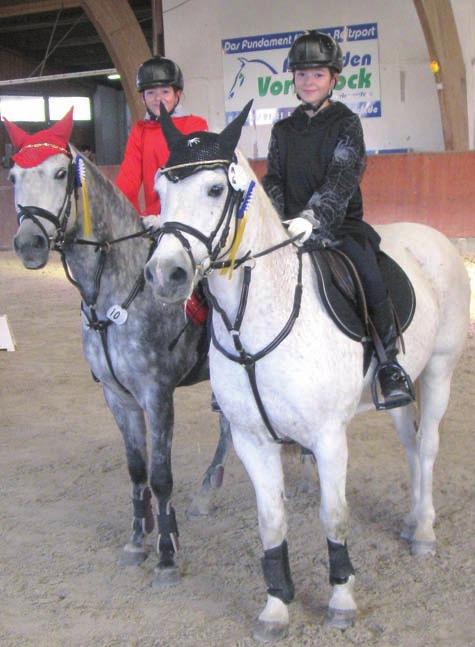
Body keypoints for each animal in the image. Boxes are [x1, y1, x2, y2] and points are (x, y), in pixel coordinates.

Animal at [143, 107, 470, 644]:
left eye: (214, 189)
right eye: (160, 190)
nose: (165, 274)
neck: (254, 320)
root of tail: (433, 237)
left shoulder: (328, 437)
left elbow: (333, 517)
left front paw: (341, 601)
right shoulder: (253, 440)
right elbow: (271, 522)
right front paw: (276, 607)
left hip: (440, 370)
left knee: (427, 448)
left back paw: (423, 530)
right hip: (396, 388)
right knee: (410, 442)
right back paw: (409, 520)